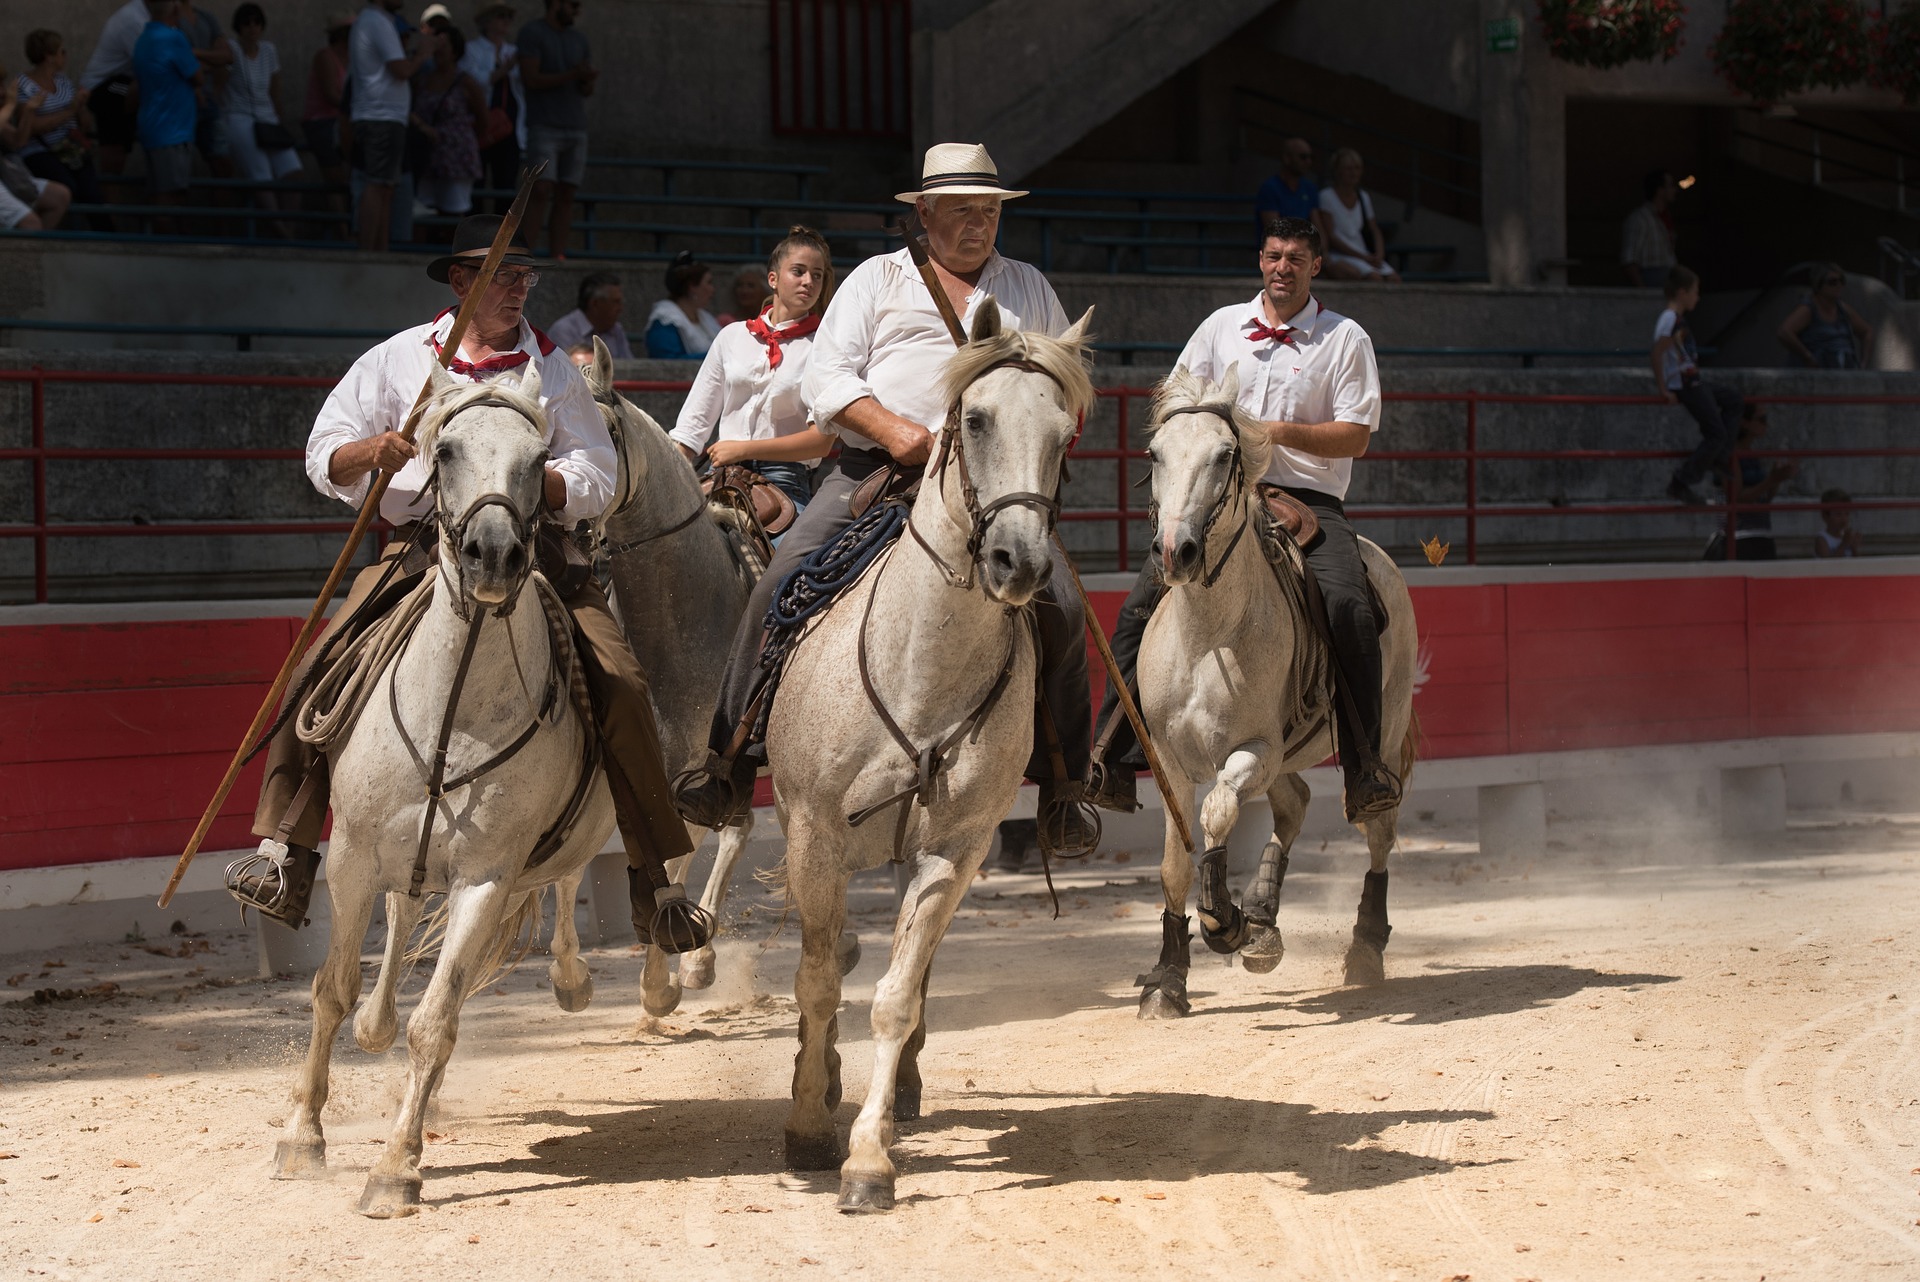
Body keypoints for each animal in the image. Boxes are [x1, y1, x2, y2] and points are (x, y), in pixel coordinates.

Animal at [276, 364, 614, 1220]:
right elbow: (330, 990)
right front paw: (302, 1135)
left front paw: (397, 1168)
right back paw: (374, 1019)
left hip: (561, 844)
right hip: (398, 854)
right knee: (399, 918)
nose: (493, 553)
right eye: (447, 448)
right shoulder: (352, 856)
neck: (455, 705)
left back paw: (570, 980)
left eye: (541, 458)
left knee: (564, 886)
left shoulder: (487, 877)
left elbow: (436, 1025)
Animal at [768, 301, 1098, 1212]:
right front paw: (809, 1127)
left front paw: (868, 1160)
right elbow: (818, 980)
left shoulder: (957, 845)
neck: (922, 661)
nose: (1019, 561)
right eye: (975, 419)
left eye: (1063, 431)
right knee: (828, 958)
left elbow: (895, 997)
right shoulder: (813, 836)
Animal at [1128, 364, 1420, 1013]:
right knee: (1295, 804)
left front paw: (1224, 921)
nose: (1175, 552)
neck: (1207, 635)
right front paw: (1168, 978)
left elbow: (1217, 813)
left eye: (1224, 455)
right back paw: (1263, 918)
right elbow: (1172, 865)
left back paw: (1363, 948)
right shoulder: (1168, 760)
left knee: (1379, 832)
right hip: (1287, 761)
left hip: (1380, 741)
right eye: (1155, 454)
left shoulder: (1254, 751)